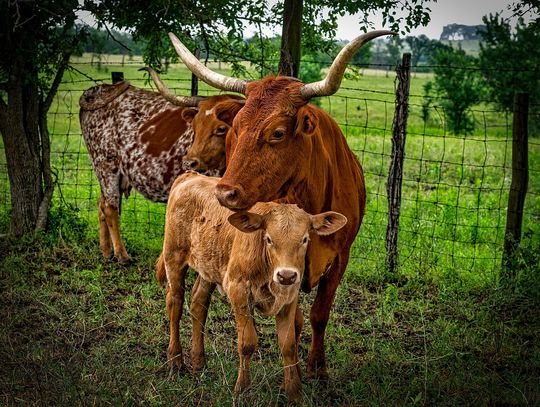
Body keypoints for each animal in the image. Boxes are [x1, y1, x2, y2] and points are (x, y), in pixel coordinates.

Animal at [78, 72, 243, 264]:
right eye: (194, 127)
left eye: (222, 128)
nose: (189, 162)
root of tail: (98, 89)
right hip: (106, 163)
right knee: (110, 207)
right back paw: (121, 254)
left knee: (101, 203)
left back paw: (106, 251)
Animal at [156, 173, 346, 402]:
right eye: (269, 239)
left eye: (305, 239)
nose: (286, 275)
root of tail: (190, 176)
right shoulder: (239, 291)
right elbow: (247, 343)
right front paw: (242, 389)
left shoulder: (289, 297)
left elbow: (288, 344)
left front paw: (294, 393)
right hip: (173, 257)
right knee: (175, 304)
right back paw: (175, 361)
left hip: (209, 267)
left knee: (198, 304)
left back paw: (199, 361)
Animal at [158, 29, 394, 380]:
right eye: (235, 130)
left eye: (278, 133)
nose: (224, 193)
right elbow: (295, 322)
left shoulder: (340, 257)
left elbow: (319, 314)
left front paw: (318, 370)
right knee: (175, 299)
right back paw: (176, 360)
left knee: (199, 297)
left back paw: (199, 359)